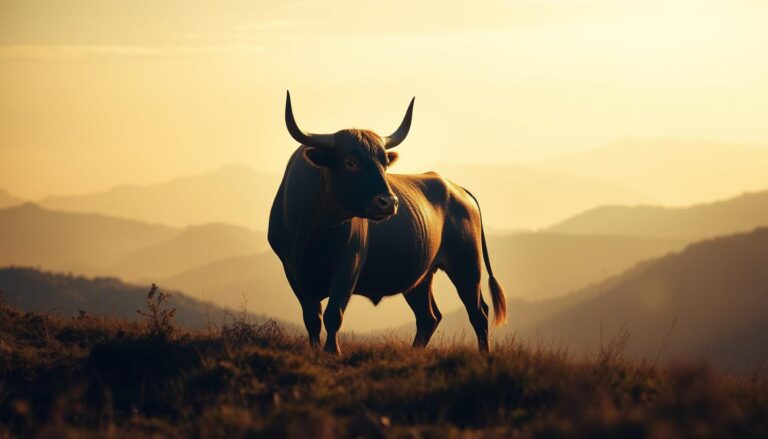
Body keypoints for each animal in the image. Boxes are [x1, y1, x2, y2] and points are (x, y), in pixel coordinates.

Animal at [268, 91, 506, 354]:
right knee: (429, 317)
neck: (312, 232)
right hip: (421, 277)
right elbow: (312, 317)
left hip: (467, 266)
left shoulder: (348, 266)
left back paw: (484, 354)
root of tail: (458, 190)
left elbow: (333, 314)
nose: (389, 202)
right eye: (351, 161)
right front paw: (314, 350)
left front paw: (332, 351)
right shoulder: (292, 270)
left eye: (384, 162)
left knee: (478, 312)